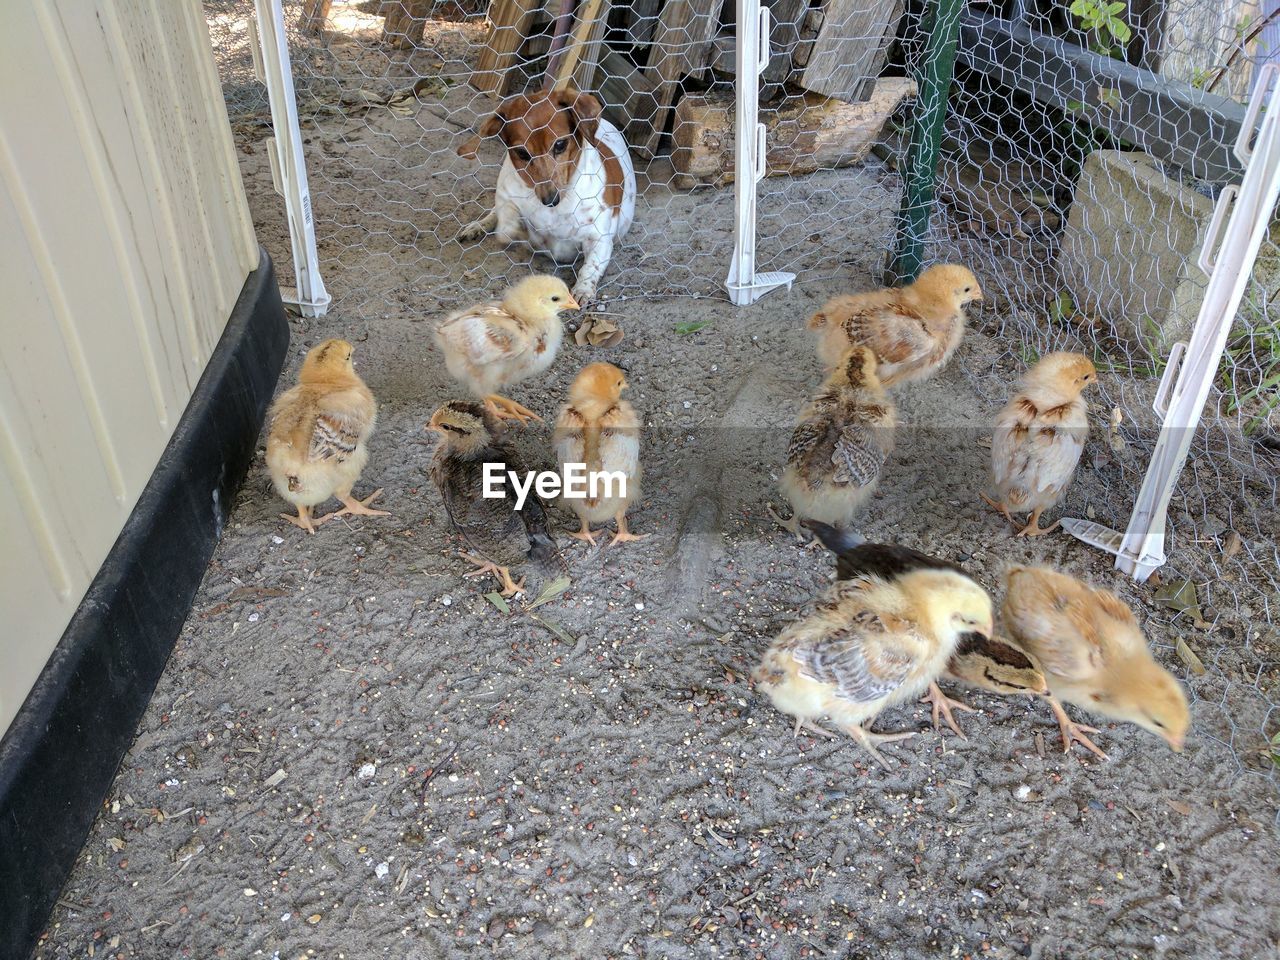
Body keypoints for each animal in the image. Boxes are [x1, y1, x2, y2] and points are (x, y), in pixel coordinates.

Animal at [460, 89, 640, 304]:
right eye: (522, 153)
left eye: (560, 144)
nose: (551, 200)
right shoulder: (506, 195)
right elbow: (508, 217)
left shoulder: (599, 239)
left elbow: (591, 266)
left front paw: (583, 289)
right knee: (493, 214)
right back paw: (477, 226)